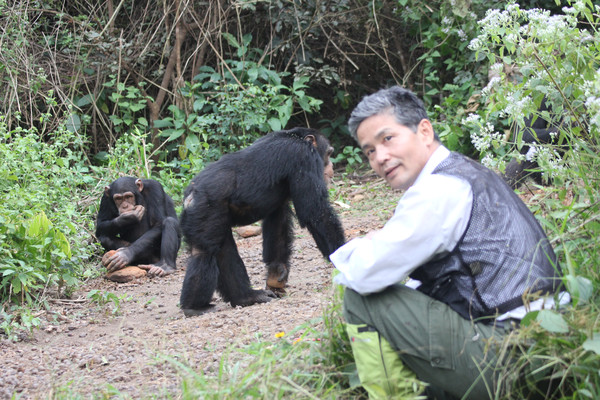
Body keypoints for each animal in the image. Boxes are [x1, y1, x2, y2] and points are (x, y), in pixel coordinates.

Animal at [180, 127, 344, 316]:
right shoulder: (304, 157)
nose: (332, 166)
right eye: (329, 153)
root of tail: (189, 196)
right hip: (205, 209)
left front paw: (276, 274)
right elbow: (316, 212)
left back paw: (246, 297)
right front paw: (343, 256)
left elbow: (278, 221)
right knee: (205, 252)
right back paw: (194, 307)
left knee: (224, 251)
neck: (297, 138)